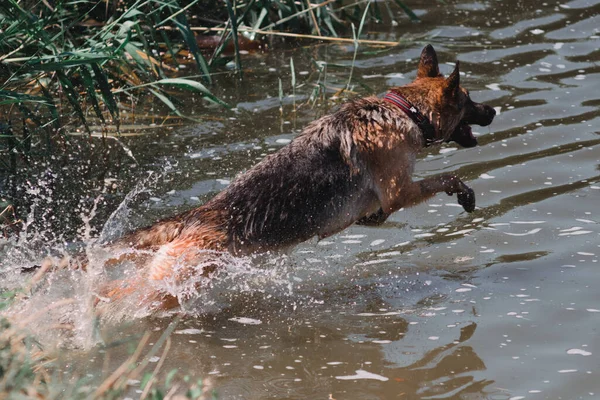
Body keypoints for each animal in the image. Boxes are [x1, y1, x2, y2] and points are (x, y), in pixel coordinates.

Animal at [104, 45, 496, 310]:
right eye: (469, 100)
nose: (493, 110)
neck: (406, 111)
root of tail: (193, 217)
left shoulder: (377, 208)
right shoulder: (401, 191)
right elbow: (447, 177)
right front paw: (464, 193)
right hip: (176, 280)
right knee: (122, 294)